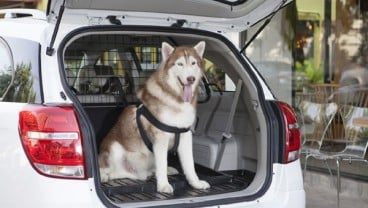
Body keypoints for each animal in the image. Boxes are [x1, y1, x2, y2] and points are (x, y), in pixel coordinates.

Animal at [99, 40, 210, 193]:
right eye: (180, 64)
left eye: (193, 63)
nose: (191, 79)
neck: (177, 100)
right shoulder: (160, 138)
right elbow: (162, 163)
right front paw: (163, 185)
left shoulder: (185, 136)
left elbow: (190, 165)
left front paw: (196, 183)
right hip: (114, 148)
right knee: (106, 169)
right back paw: (103, 175)